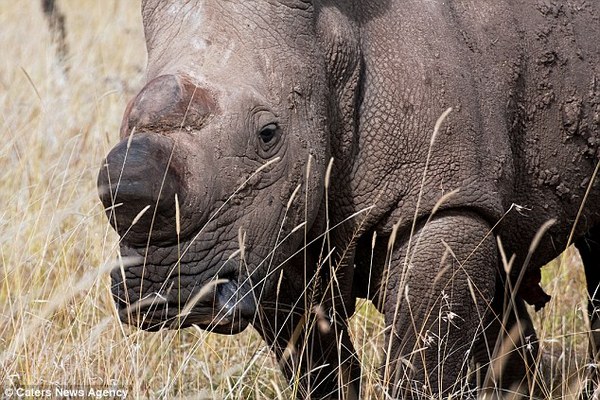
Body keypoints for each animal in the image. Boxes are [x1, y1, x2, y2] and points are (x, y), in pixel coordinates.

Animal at [96, 1, 600, 398]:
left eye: (268, 135)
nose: (162, 290)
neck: (334, 45)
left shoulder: (443, 198)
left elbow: (424, 356)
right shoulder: (273, 234)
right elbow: (318, 369)